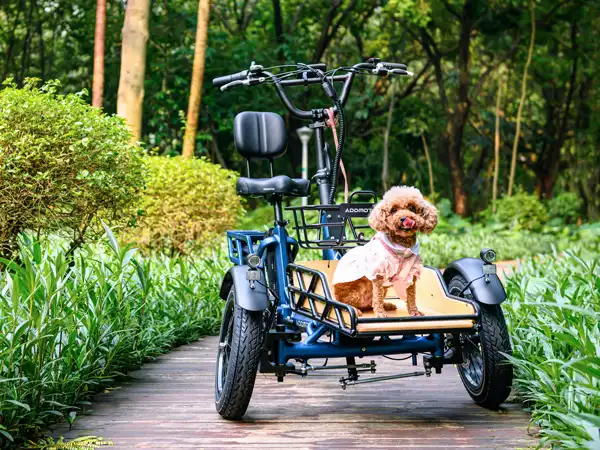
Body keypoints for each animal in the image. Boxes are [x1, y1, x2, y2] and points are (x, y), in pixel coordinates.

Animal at [330, 185, 438, 318]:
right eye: (394, 210)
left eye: (412, 208)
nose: (404, 218)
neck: (402, 246)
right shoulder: (378, 273)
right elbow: (378, 296)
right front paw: (380, 314)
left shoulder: (411, 273)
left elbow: (411, 296)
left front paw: (414, 312)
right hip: (355, 289)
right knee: (344, 303)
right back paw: (355, 309)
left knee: (370, 304)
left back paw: (387, 305)